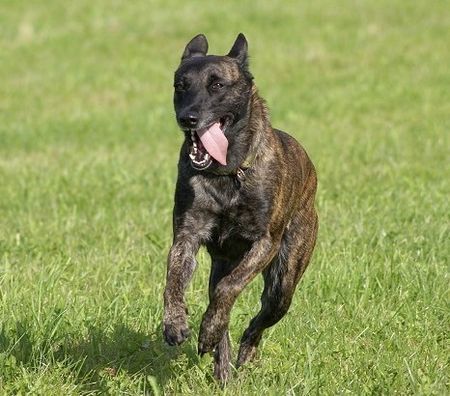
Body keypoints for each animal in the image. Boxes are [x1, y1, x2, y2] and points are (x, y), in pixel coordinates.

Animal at [163, 33, 318, 380]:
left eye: (218, 85)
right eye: (181, 85)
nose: (187, 118)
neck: (226, 172)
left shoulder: (264, 243)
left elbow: (229, 289)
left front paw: (207, 329)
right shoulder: (186, 237)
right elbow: (174, 280)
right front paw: (175, 324)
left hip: (284, 282)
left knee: (260, 316)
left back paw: (244, 350)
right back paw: (223, 371)